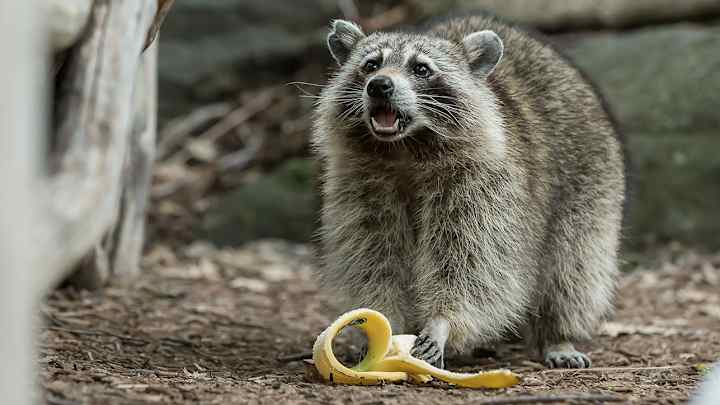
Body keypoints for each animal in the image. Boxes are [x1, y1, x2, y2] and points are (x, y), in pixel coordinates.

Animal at [312, 15, 625, 369]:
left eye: (421, 69)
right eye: (371, 64)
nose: (379, 85)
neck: (405, 148)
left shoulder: (483, 186)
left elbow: (470, 263)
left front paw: (441, 323)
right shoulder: (360, 187)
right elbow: (373, 259)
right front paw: (383, 321)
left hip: (588, 182)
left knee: (573, 268)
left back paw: (558, 334)